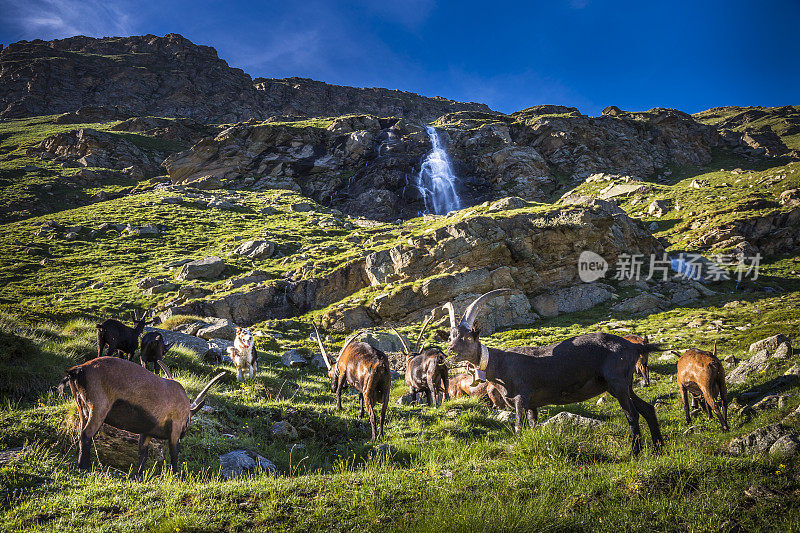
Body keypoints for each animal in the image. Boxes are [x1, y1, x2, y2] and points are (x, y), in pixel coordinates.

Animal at [59, 358, 225, 474]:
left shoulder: (147, 431)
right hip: (99, 408)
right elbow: (174, 453)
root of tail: (79, 370)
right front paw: (176, 476)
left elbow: (142, 453)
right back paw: (85, 467)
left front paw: (138, 475)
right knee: (86, 435)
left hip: (83, 409)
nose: (184, 433)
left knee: (82, 433)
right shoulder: (176, 427)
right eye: (188, 420)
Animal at [444, 288, 664, 456]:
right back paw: (659, 448)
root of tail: (634, 347)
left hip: (617, 382)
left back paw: (635, 453)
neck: (500, 363)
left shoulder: (521, 397)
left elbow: (518, 426)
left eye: (467, 337)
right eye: (450, 337)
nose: (450, 351)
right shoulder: (532, 404)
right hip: (622, 385)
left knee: (632, 414)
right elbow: (533, 426)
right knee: (647, 409)